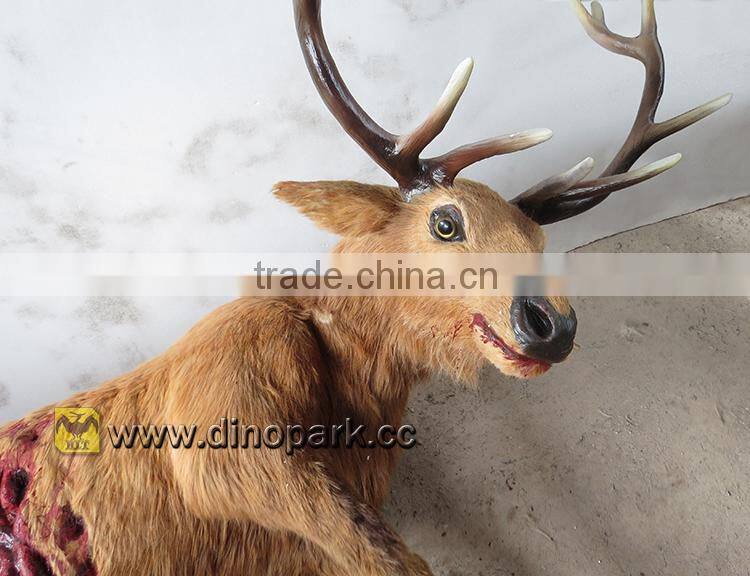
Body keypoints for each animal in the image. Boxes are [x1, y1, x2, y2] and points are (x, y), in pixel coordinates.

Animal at [0, 1, 730, 574]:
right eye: (445, 220)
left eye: (539, 241)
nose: (552, 325)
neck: (356, 404)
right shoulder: (220, 419)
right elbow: (393, 558)